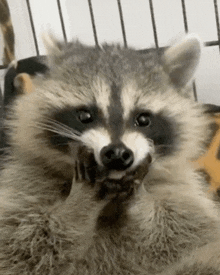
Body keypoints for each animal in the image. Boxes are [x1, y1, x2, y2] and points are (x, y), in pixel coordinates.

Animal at [0, 35, 220, 275]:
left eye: (143, 119)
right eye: (85, 116)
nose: (117, 154)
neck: (113, 194)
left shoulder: (181, 189)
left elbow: (181, 231)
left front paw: (140, 198)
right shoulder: (27, 182)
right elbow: (21, 241)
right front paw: (77, 205)